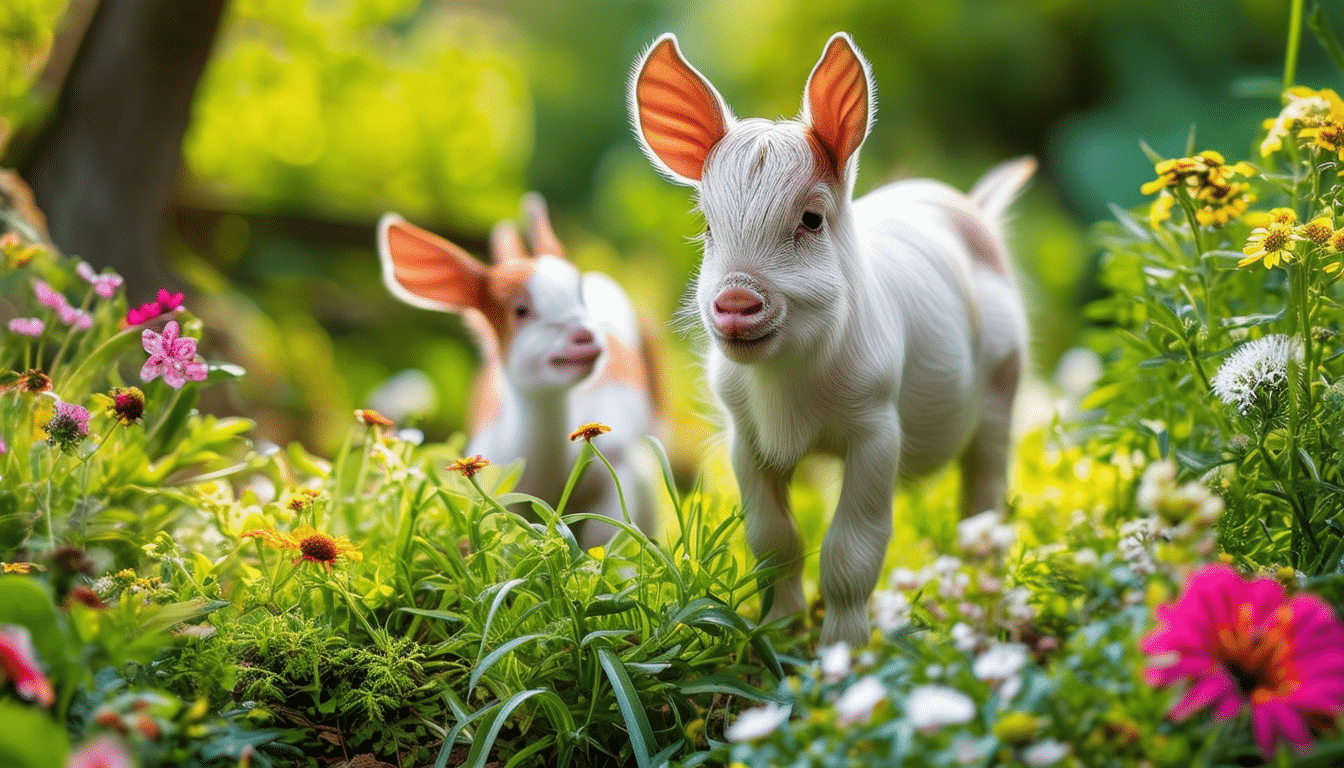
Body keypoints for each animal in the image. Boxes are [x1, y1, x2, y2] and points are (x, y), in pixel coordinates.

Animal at [628, 33, 1026, 645]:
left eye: (812, 219)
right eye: (709, 226)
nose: (736, 300)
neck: (790, 390)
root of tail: (974, 210)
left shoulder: (877, 427)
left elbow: (852, 547)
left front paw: (843, 651)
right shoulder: (745, 435)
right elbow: (774, 541)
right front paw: (780, 633)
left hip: (1006, 381)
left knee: (983, 501)